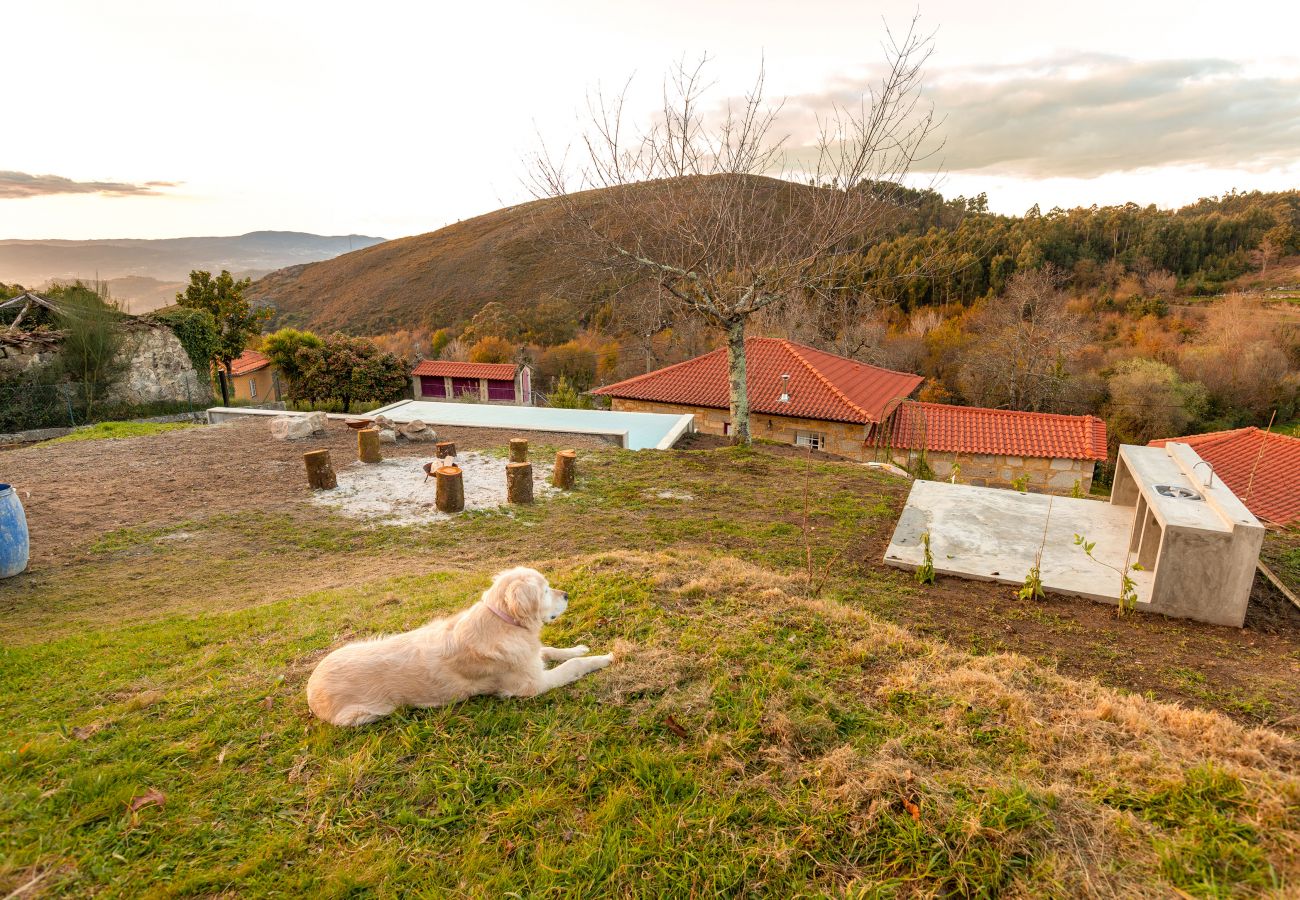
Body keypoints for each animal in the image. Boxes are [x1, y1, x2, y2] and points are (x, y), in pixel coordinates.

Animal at [306, 567, 611, 728]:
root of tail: (310, 686)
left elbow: (551, 650)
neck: (502, 622)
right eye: (546, 590)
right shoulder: (530, 685)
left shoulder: (530, 656)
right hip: (361, 716)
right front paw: (605, 658)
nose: (567, 594)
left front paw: (579, 648)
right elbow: (571, 666)